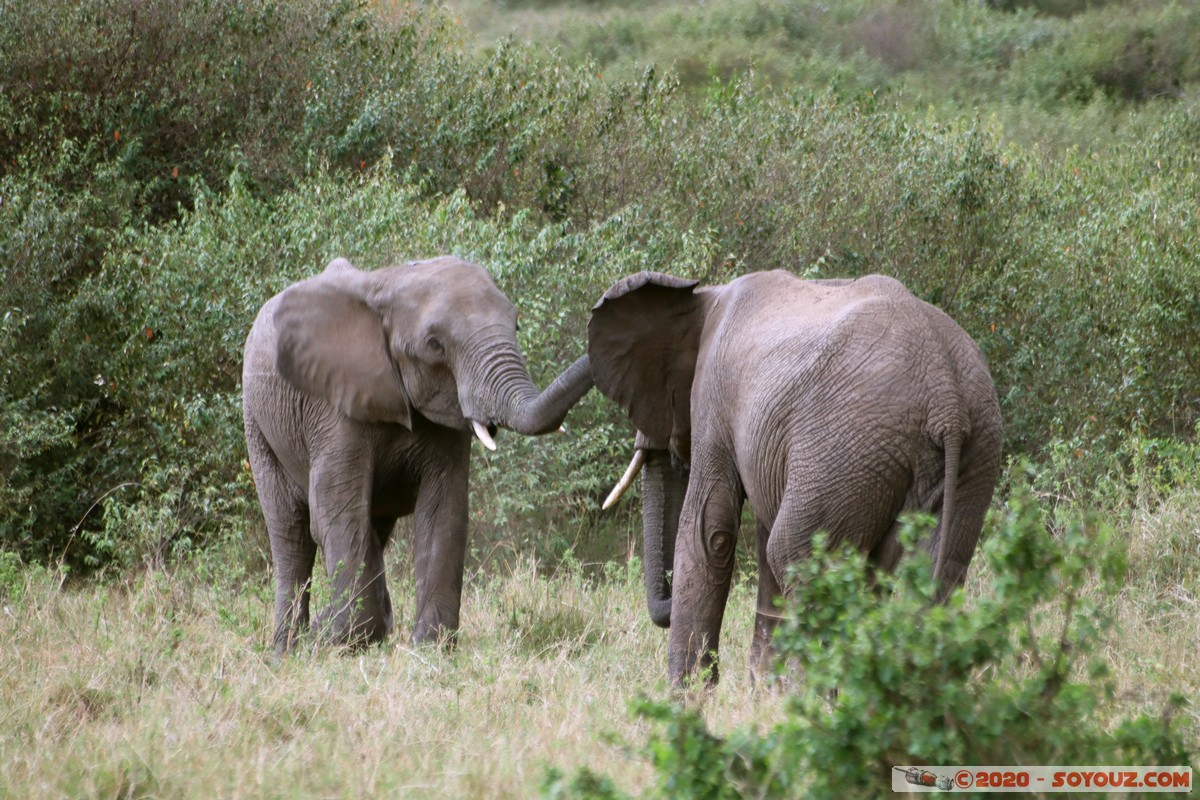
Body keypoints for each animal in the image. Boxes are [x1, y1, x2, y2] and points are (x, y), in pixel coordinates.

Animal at [244, 257, 595, 657]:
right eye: (434, 345)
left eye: (516, 325)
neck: (391, 284)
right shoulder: (333, 408)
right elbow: (338, 513)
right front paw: (336, 639)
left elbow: (445, 510)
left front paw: (428, 649)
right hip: (258, 426)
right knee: (292, 533)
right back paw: (288, 652)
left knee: (372, 530)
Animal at [590, 272, 1003, 686]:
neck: (703, 296)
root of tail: (945, 397)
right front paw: (759, 689)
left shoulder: (714, 402)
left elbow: (709, 533)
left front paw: (686, 696)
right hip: (970, 452)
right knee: (938, 572)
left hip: (844, 448)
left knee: (793, 553)